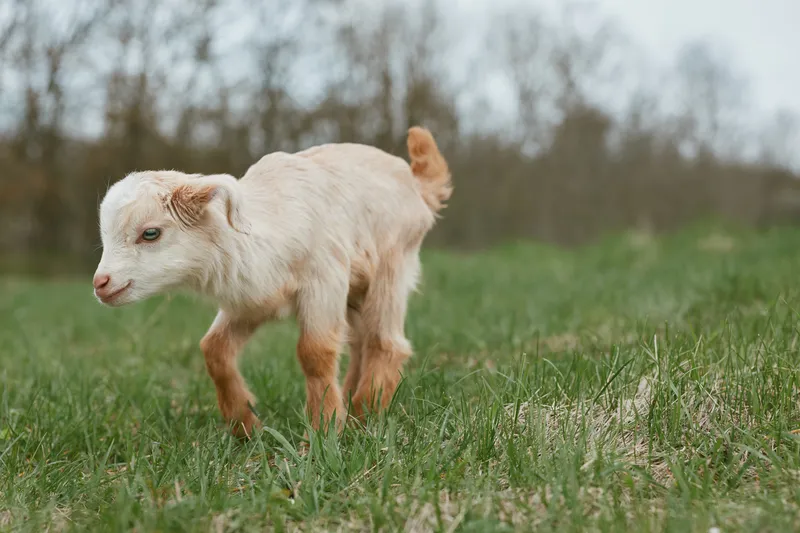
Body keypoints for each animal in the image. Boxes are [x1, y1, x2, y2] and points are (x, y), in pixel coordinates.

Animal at [93, 127, 452, 437]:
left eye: (150, 233)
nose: (100, 283)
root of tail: (418, 186)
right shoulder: (250, 301)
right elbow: (214, 348)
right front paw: (245, 426)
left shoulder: (325, 280)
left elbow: (314, 352)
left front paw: (322, 431)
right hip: (357, 289)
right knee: (360, 341)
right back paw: (351, 400)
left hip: (392, 266)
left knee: (386, 342)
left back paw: (365, 413)